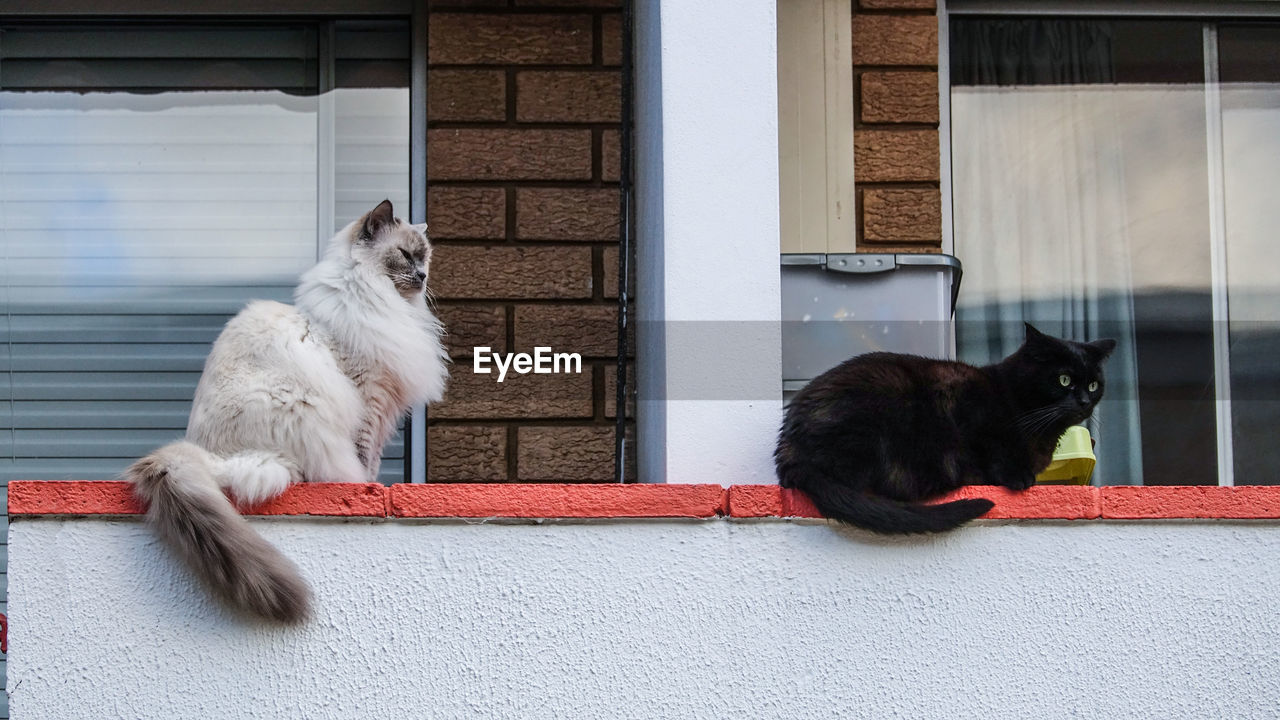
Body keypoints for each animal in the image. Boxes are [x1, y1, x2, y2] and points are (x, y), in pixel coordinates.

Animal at [124, 198, 445, 620]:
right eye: (406, 255)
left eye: (425, 259)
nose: (422, 276)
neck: (379, 299)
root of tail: (208, 458)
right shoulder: (368, 399)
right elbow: (365, 461)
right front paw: (366, 489)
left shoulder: (381, 408)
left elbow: (373, 459)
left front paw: (373, 487)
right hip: (301, 405)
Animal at [773, 322, 1116, 530]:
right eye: (1064, 379)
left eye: (1094, 384)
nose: (1084, 401)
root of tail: (790, 451)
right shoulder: (965, 405)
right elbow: (992, 446)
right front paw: (1016, 476)